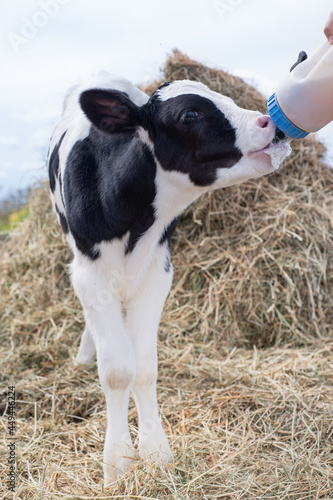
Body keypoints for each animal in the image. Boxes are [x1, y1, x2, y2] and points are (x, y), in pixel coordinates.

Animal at [47, 72, 290, 486]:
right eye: (190, 114)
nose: (270, 125)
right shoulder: (90, 275)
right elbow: (117, 370)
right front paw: (118, 462)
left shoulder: (157, 272)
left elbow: (144, 367)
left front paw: (156, 453)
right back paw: (83, 356)